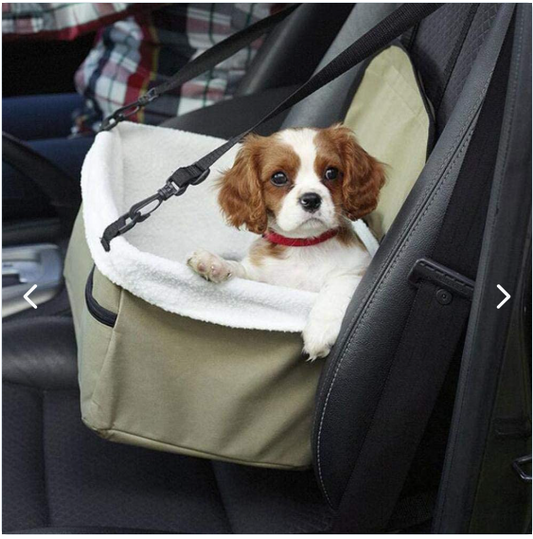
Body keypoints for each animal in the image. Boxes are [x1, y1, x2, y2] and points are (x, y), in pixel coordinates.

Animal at [187, 125, 382, 360]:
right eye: (279, 177)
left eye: (332, 173)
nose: (311, 199)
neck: (304, 246)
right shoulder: (262, 279)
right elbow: (240, 270)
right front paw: (213, 263)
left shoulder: (357, 270)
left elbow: (337, 286)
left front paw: (321, 330)